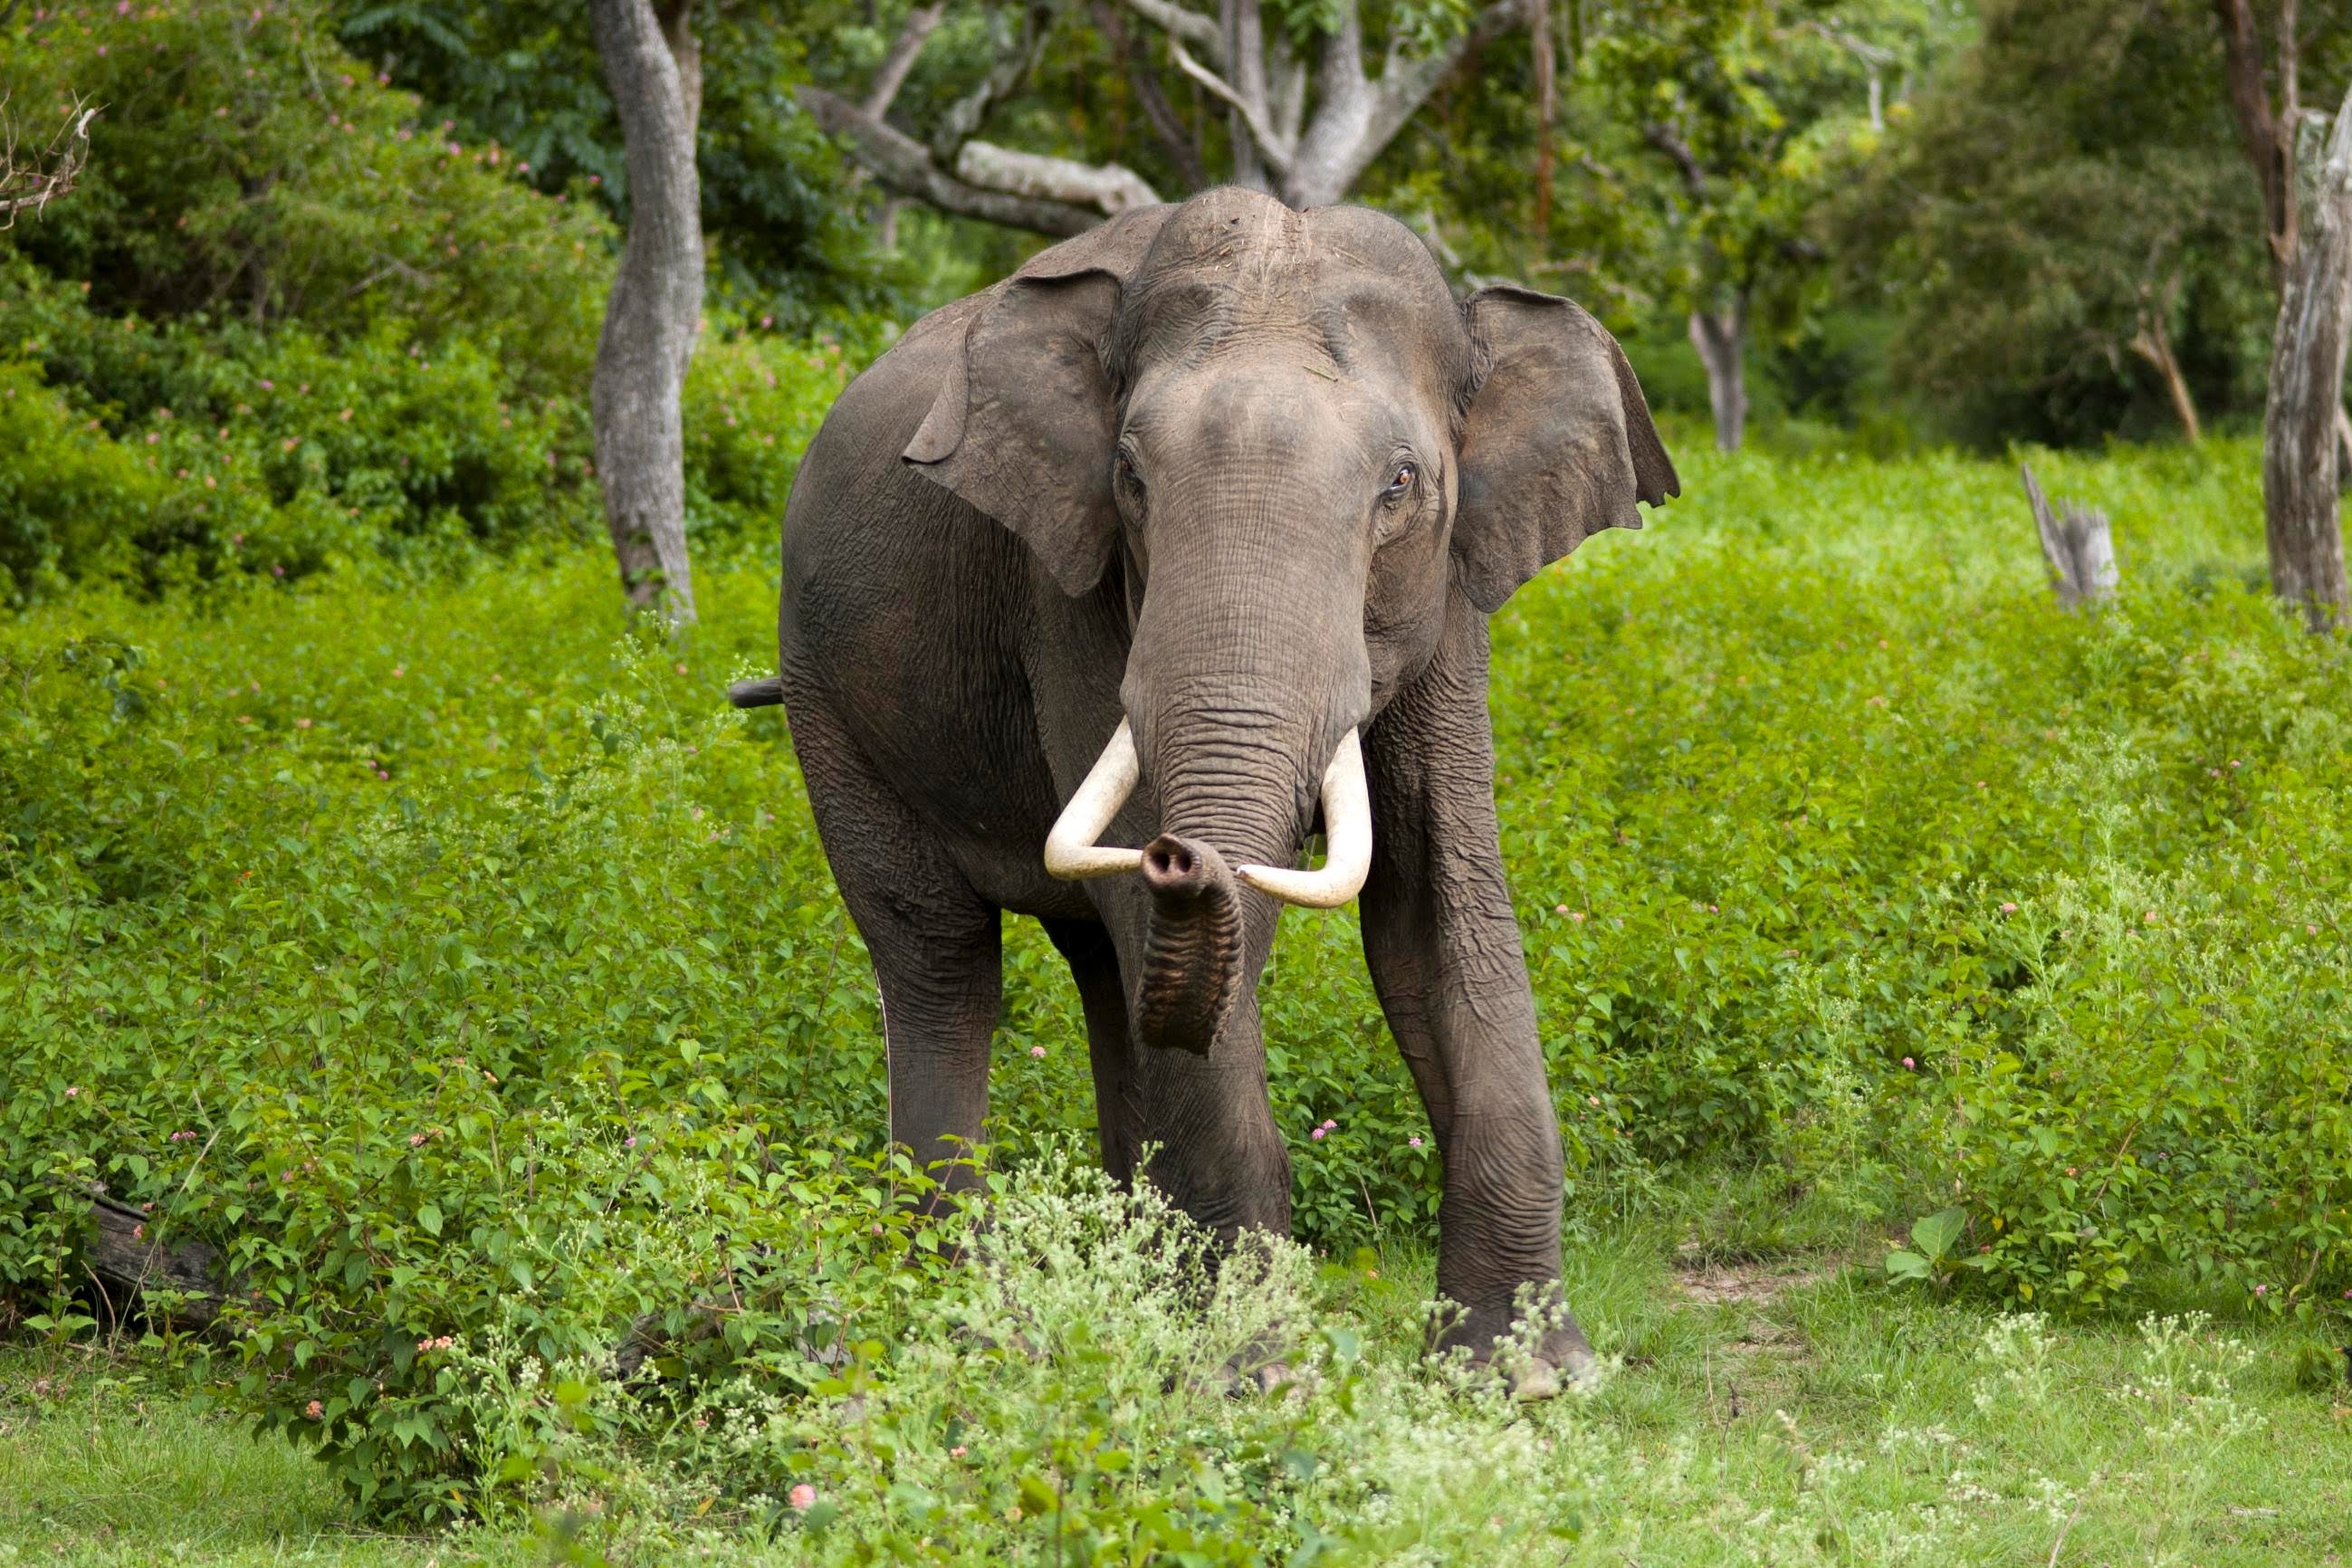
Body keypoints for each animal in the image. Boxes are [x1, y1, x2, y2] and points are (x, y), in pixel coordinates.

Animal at [733, 186, 1674, 1401]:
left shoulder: (1452, 595)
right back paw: (972, 1321)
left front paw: (1525, 1380)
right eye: (1132, 477)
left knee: (1104, 972)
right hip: (826, 697)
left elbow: (1435, 912)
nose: (1186, 855)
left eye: (1401, 484)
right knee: (940, 959)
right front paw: (1254, 1380)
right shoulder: (1070, 591)